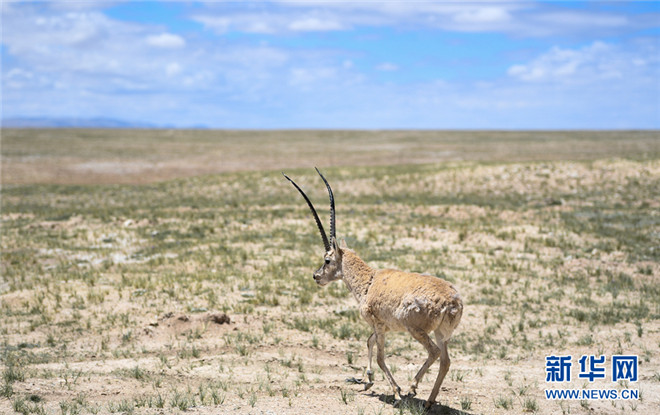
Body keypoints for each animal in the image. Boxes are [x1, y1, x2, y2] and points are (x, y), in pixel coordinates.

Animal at [284, 169, 464, 410]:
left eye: (327, 259)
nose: (316, 276)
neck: (369, 280)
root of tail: (452, 301)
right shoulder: (383, 328)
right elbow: (368, 342)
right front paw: (368, 381)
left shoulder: (378, 325)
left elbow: (380, 357)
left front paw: (396, 392)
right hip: (442, 334)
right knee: (445, 361)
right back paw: (428, 402)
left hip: (416, 329)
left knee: (433, 352)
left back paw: (412, 388)